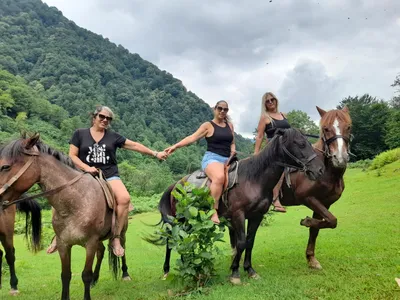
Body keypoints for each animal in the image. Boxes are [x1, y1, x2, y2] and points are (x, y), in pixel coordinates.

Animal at [0, 136, 131, 300]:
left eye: (5, 166)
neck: (75, 202)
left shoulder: (90, 243)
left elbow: (85, 275)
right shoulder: (64, 244)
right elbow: (65, 275)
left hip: (122, 232)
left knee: (122, 248)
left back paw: (125, 273)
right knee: (101, 252)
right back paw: (96, 279)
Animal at [154, 127, 324, 284]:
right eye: (300, 144)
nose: (320, 169)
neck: (254, 179)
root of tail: (176, 184)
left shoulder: (257, 216)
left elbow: (250, 242)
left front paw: (249, 269)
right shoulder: (238, 215)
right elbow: (241, 242)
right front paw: (235, 272)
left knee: (181, 238)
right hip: (181, 219)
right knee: (172, 239)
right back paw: (168, 270)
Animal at [278, 106, 354, 270]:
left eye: (349, 127)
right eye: (325, 128)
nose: (340, 158)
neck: (325, 171)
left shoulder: (324, 202)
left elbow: (319, 227)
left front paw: (311, 259)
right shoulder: (307, 198)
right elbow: (332, 220)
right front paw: (306, 221)